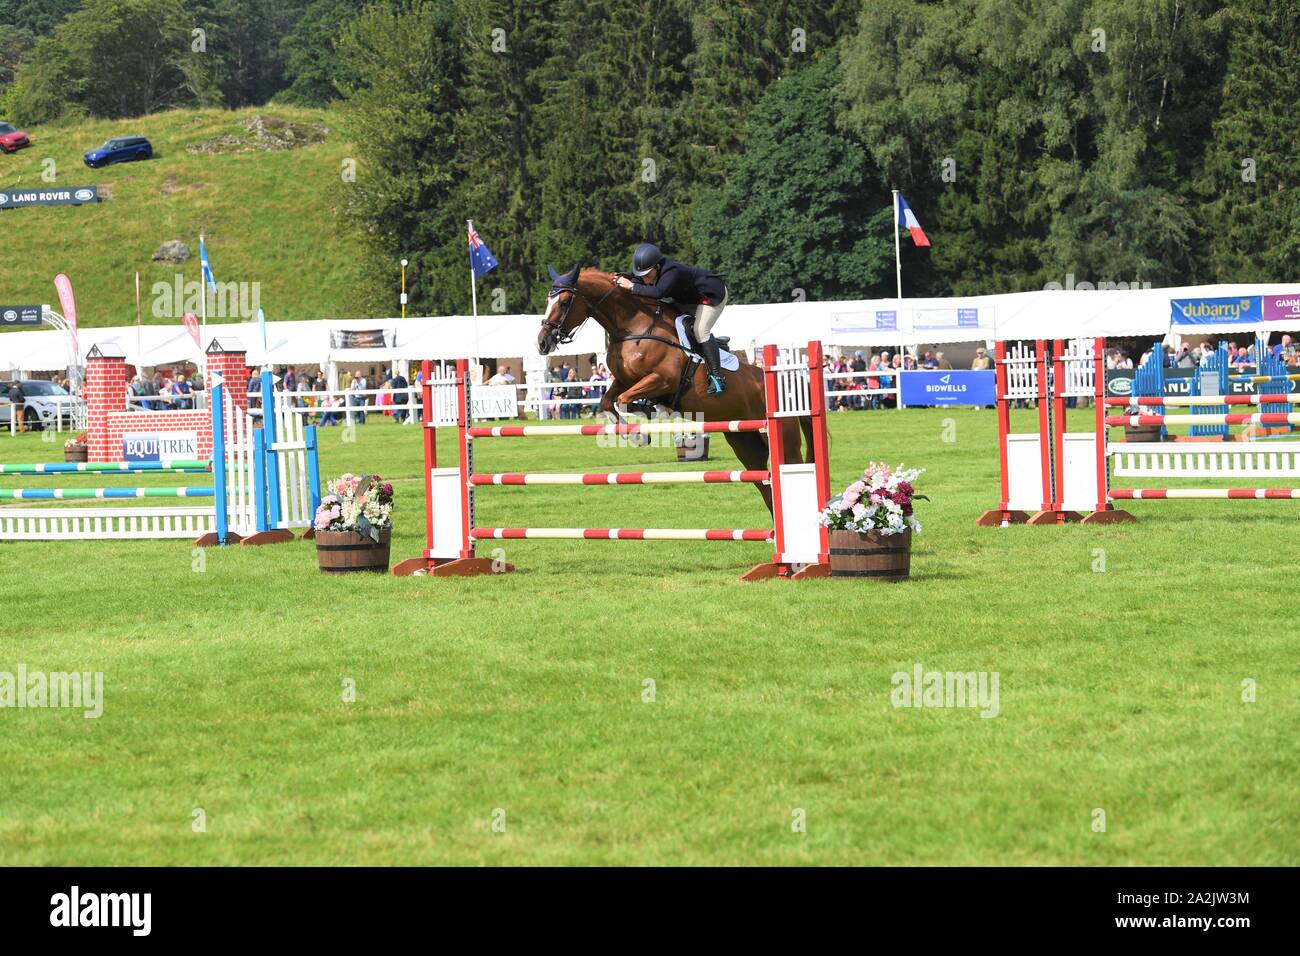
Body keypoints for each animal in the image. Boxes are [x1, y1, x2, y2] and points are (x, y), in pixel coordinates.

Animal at [538, 261, 811, 515]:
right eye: (547, 300)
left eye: (564, 301)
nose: (542, 342)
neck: (633, 326)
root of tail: (791, 384)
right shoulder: (624, 380)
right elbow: (609, 401)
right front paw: (636, 433)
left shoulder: (663, 379)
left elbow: (625, 400)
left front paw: (647, 418)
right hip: (745, 442)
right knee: (765, 485)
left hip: (782, 440)